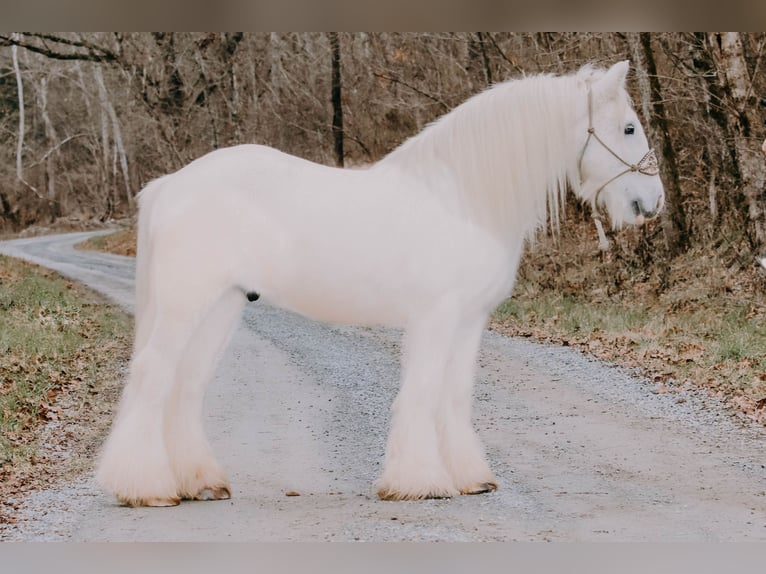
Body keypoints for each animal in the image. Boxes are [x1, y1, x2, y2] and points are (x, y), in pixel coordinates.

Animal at [96, 59, 664, 508]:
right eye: (629, 128)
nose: (653, 202)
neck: (461, 199)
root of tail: (170, 185)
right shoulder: (436, 315)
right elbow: (422, 393)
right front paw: (420, 482)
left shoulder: (469, 320)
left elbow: (454, 396)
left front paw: (471, 477)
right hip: (184, 306)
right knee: (151, 378)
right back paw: (144, 488)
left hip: (221, 308)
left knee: (184, 388)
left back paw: (199, 483)